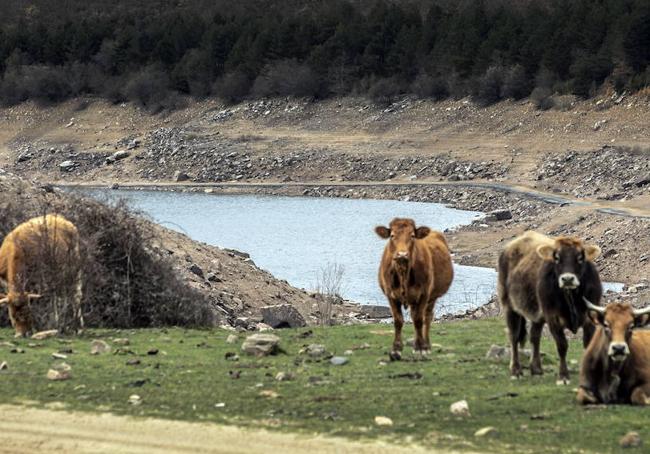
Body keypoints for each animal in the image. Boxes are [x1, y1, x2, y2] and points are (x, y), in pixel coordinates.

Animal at [374, 218, 450, 360]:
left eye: (412, 236)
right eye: (392, 235)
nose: (402, 254)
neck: (403, 273)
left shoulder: (424, 294)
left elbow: (419, 320)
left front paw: (421, 349)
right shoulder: (391, 295)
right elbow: (398, 321)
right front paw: (396, 349)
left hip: (432, 297)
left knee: (426, 317)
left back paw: (426, 345)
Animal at [496, 231, 604, 384]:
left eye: (580, 257)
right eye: (556, 258)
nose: (567, 279)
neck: (571, 297)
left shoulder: (589, 317)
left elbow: (588, 344)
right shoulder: (553, 318)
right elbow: (562, 345)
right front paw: (563, 376)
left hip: (537, 314)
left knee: (534, 336)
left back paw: (536, 369)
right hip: (509, 305)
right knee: (514, 337)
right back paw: (516, 370)